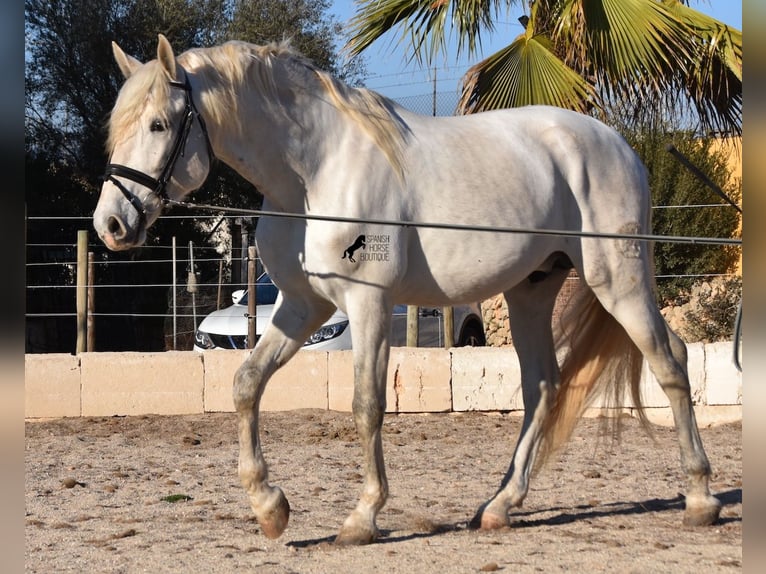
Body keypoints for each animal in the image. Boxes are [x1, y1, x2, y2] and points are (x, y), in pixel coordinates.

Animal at [93, 33, 724, 548]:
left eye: (157, 125)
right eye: (117, 128)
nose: (112, 225)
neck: (314, 171)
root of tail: (619, 146)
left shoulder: (367, 303)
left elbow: (367, 404)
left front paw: (361, 519)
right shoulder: (302, 307)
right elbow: (246, 384)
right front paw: (270, 509)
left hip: (618, 280)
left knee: (670, 360)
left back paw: (700, 499)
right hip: (531, 291)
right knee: (543, 386)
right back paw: (498, 507)